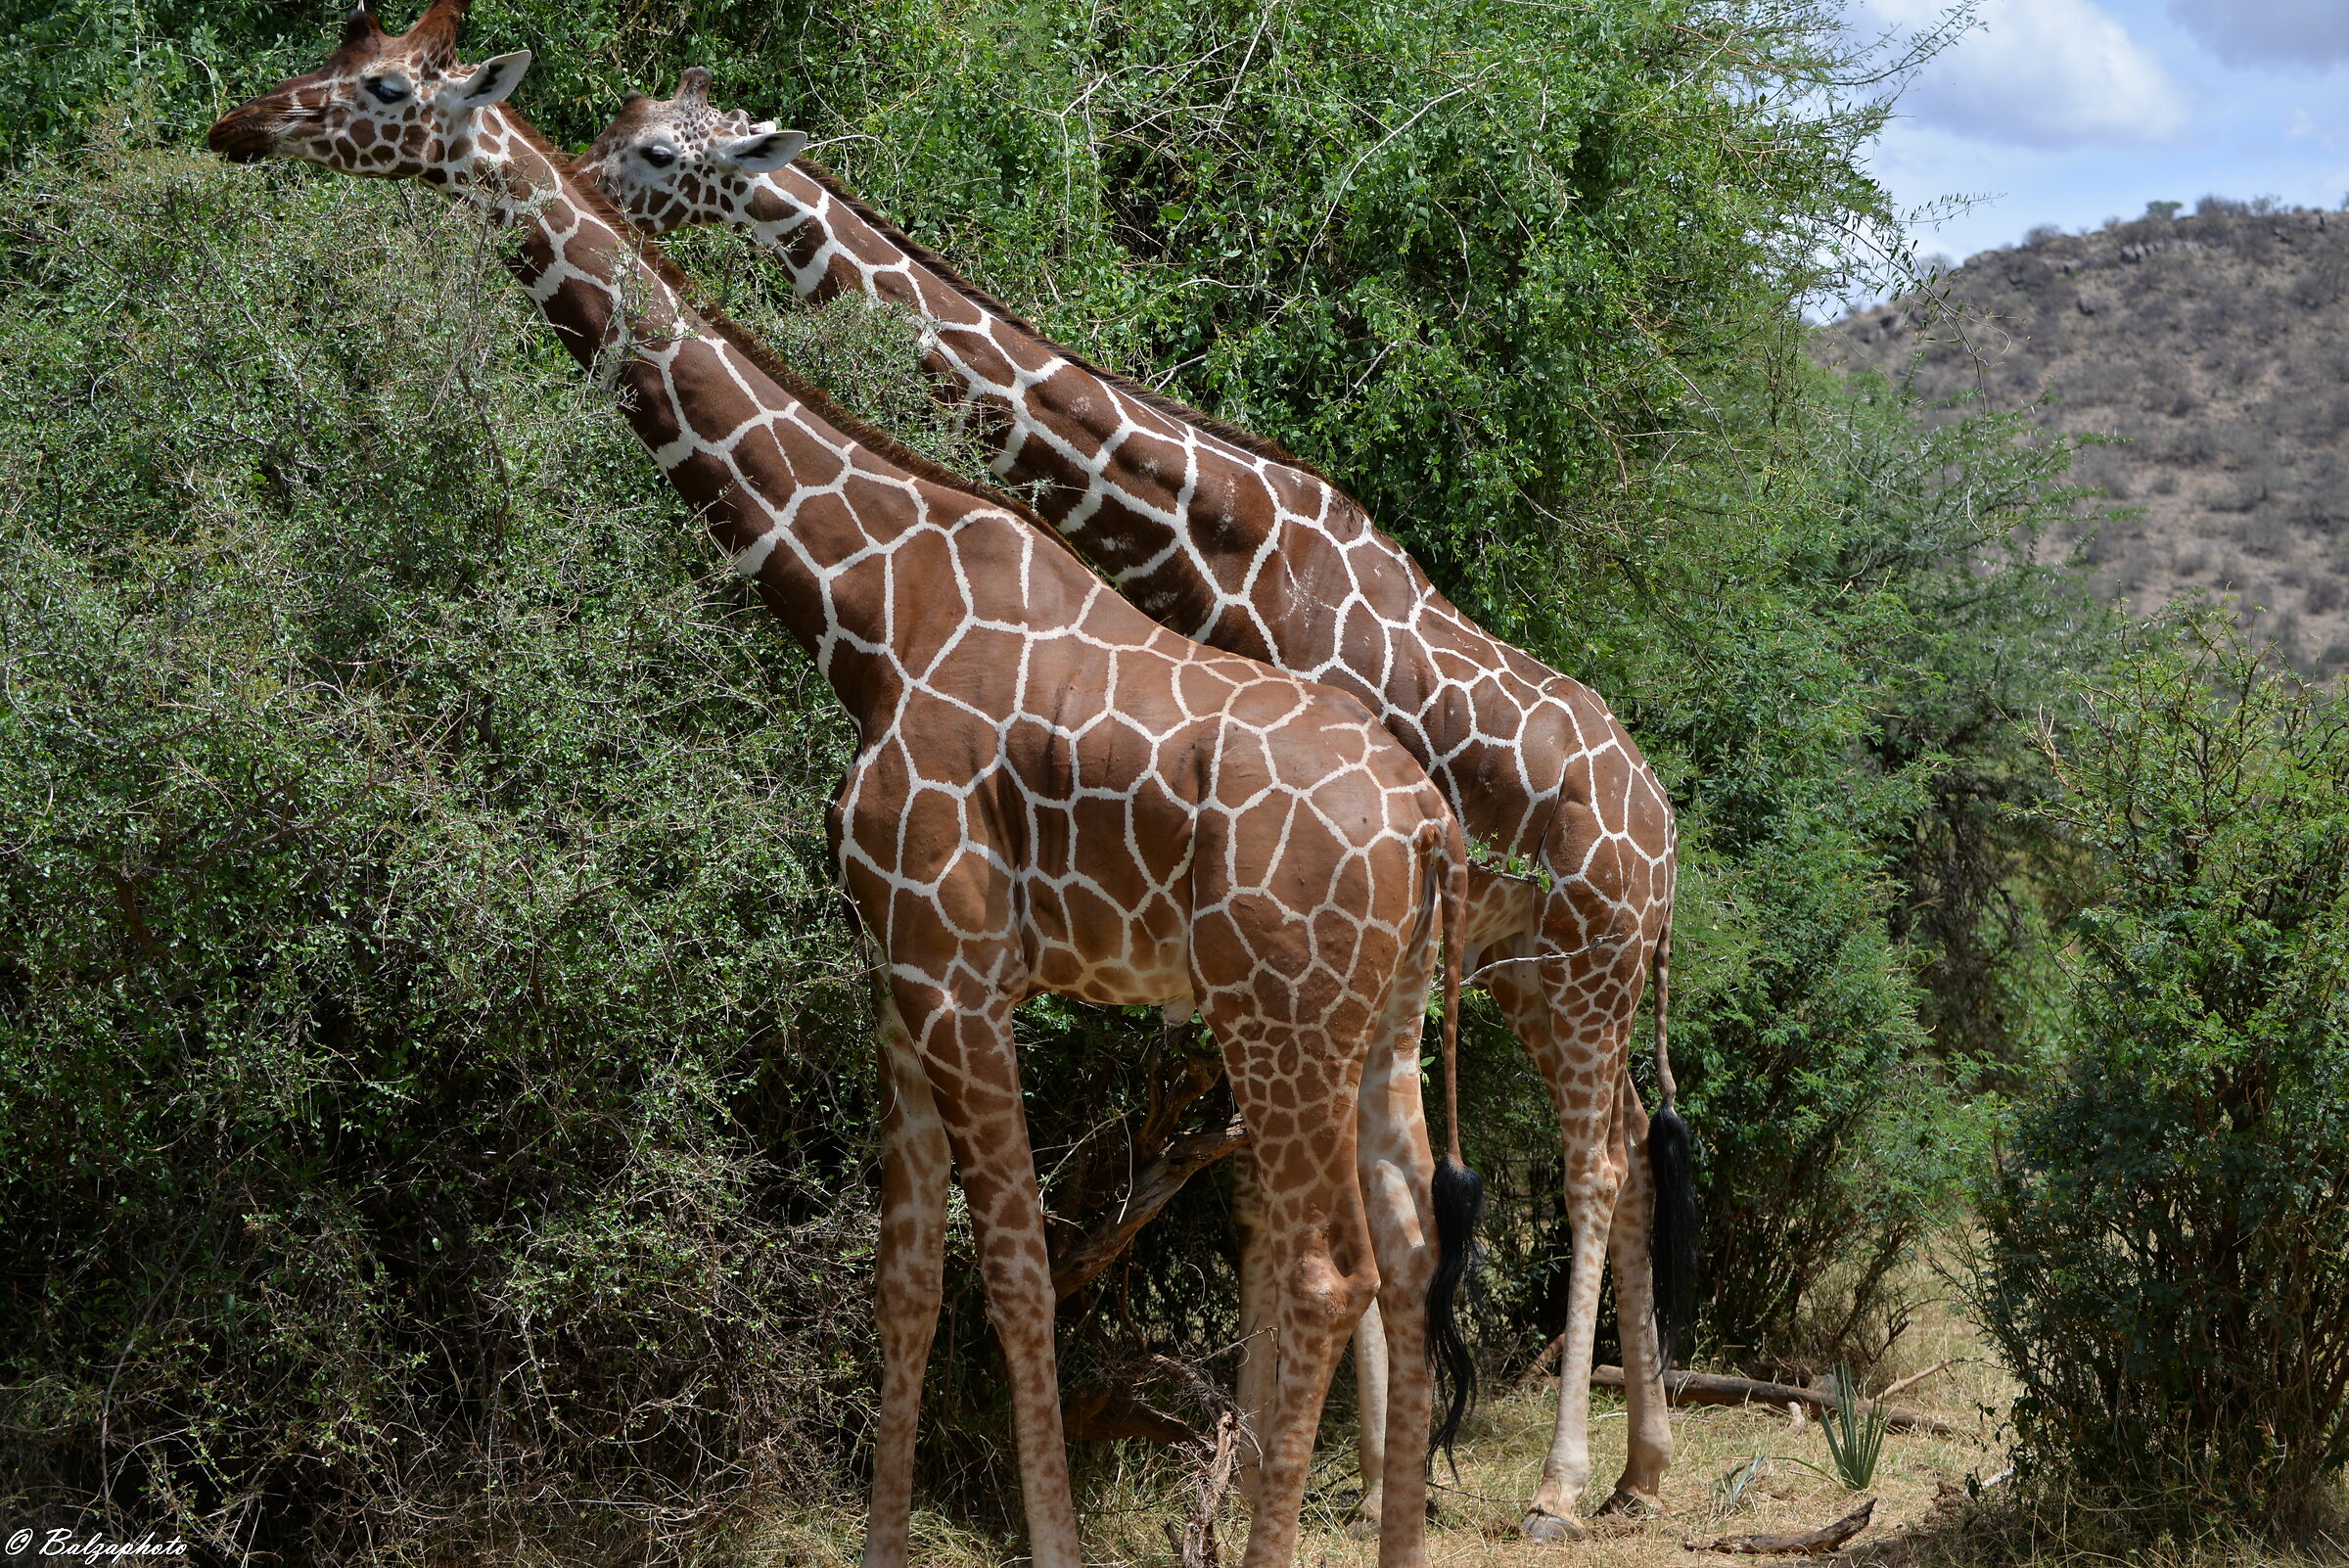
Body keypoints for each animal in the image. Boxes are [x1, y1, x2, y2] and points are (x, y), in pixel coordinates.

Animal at [207, 10, 1480, 1567]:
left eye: (386, 84)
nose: (243, 126)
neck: (867, 613)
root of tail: (1426, 823)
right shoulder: (888, 973)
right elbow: (904, 1280)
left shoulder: (957, 967)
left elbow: (1018, 1273)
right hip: (1385, 1021)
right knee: (1409, 1254)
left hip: (1278, 1013)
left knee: (1318, 1269)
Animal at [580, 72, 1697, 1541]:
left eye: (660, 153)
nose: (589, 169)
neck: (1215, 540)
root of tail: (1668, 824)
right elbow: (1266, 1209)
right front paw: (1342, 1467)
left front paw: (1330, 1472)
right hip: (1530, 971)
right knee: (1626, 1138)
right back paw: (1641, 1463)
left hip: (1583, 963)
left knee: (1595, 1161)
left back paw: (1564, 1485)